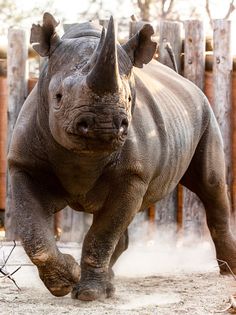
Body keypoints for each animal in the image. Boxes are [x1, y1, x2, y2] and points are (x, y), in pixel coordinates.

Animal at [8, 12, 236, 302]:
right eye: (57, 97)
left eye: (128, 99)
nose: (104, 126)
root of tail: (186, 82)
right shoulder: (23, 166)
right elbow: (34, 233)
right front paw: (64, 282)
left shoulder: (132, 174)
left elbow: (103, 235)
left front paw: (89, 293)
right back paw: (109, 279)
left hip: (206, 113)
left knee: (211, 185)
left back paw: (229, 271)